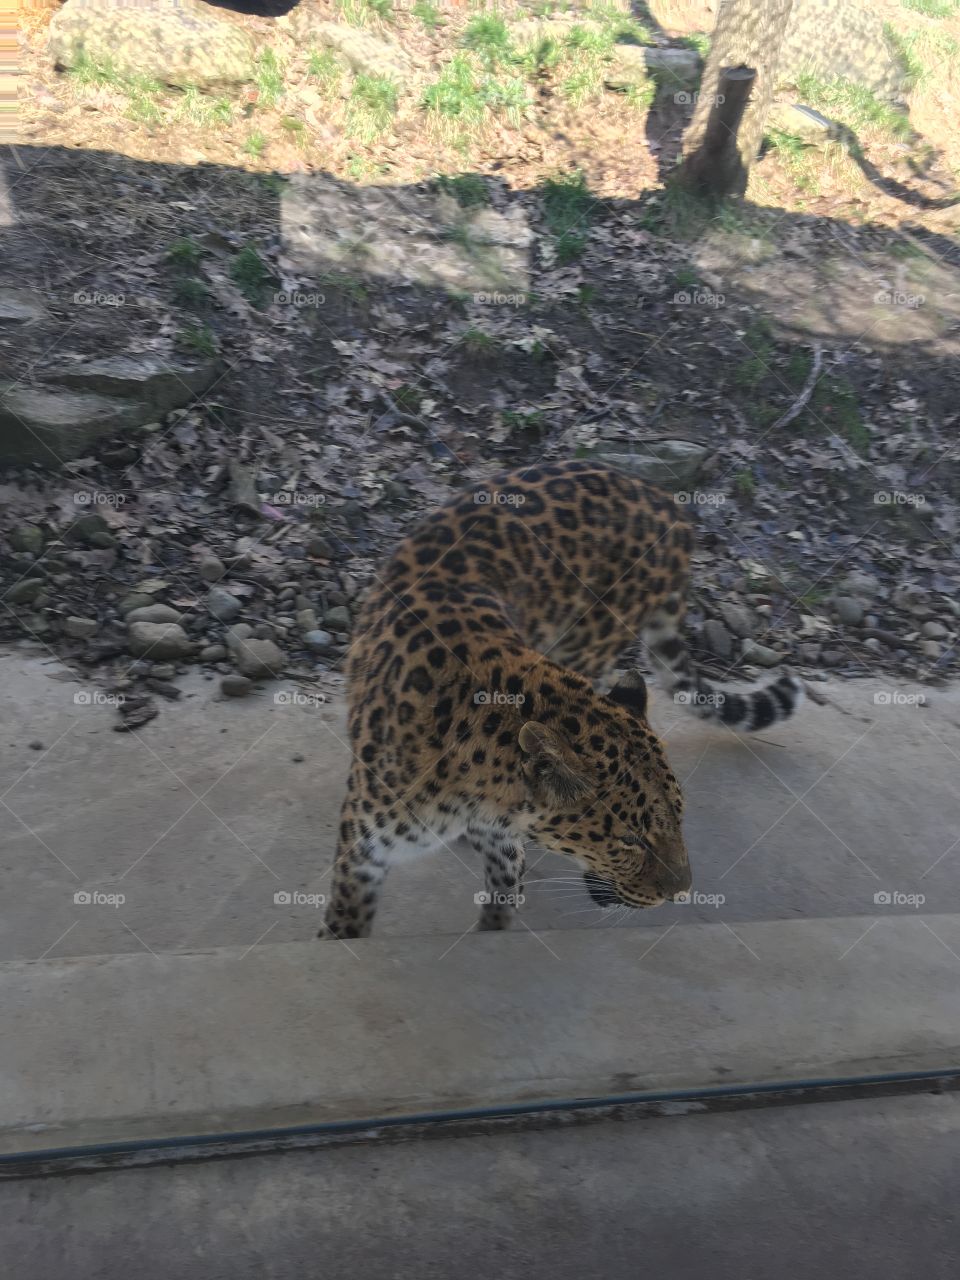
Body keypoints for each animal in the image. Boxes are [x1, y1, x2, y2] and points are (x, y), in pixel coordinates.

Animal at [320, 460, 804, 940]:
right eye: (630, 839)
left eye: (680, 818)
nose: (681, 893)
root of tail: (668, 504)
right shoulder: (361, 852)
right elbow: (343, 925)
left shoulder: (502, 847)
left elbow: (499, 907)